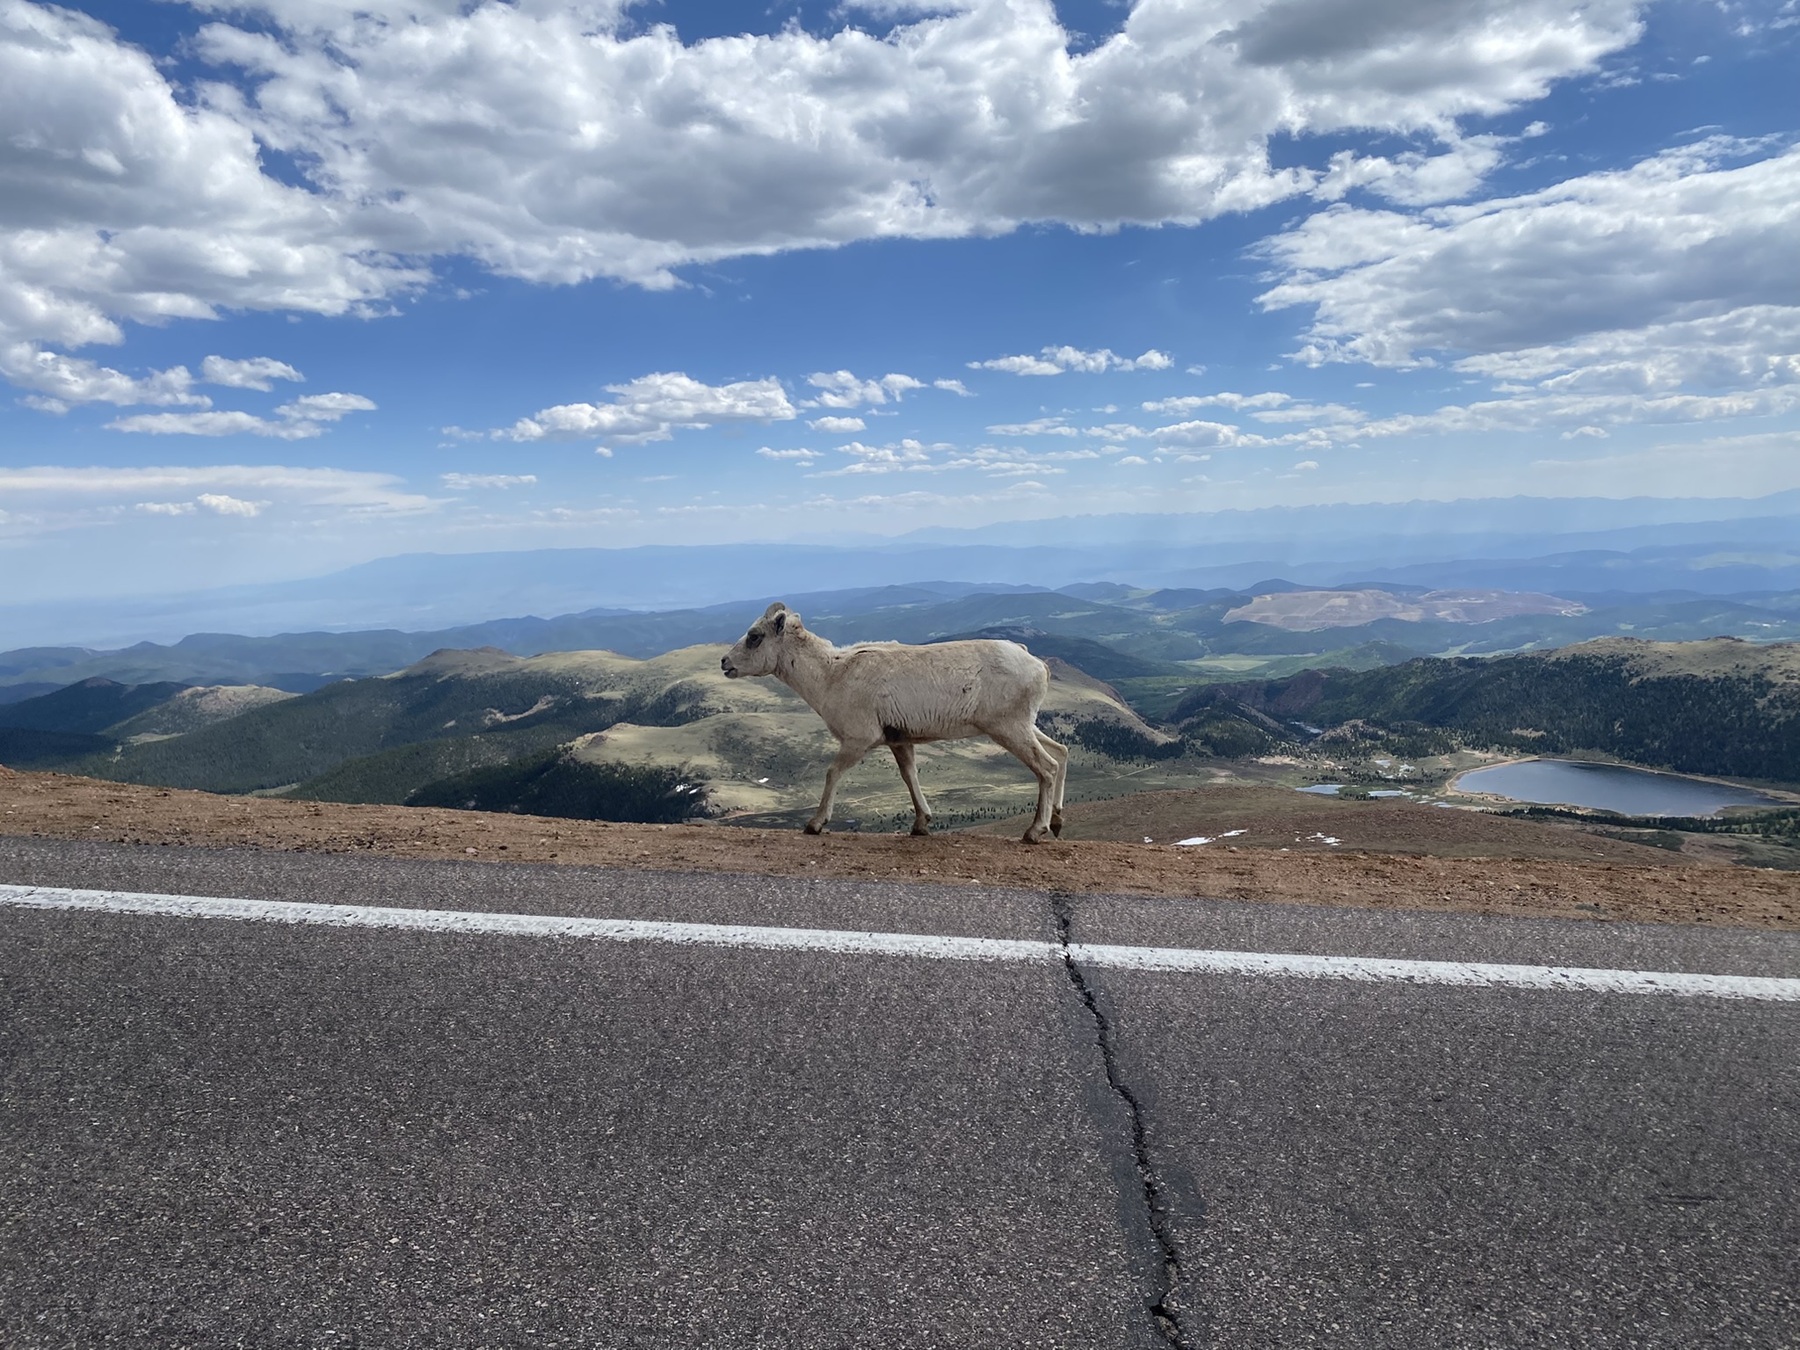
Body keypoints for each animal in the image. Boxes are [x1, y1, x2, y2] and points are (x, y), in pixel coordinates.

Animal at [722, 602, 1068, 842]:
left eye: (754, 637)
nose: (725, 663)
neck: (831, 675)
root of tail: (1035, 663)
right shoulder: (900, 742)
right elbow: (909, 776)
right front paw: (920, 825)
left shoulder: (857, 741)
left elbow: (832, 773)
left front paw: (815, 825)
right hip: (1024, 726)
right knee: (1062, 752)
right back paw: (1056, 823)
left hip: (1010, 730)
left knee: (1047, 767)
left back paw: (1034, 832)